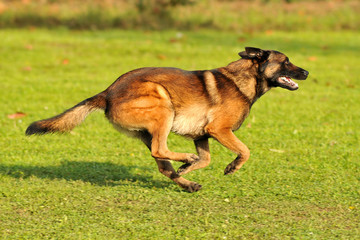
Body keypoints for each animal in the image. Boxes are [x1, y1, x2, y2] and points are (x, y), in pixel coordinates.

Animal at [26, 47, 310, 192]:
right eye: (286, 61)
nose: (307, 72)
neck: (245, 79)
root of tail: (107, 92)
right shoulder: (219, 130)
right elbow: (245, 151)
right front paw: (231, 167)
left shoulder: (202, 135)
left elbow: (206, 159)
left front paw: (188, 169)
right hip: (164, 106)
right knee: (159, 149)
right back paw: (186, 160)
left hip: (148, 129)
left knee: (163, 164)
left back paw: (187, 181)